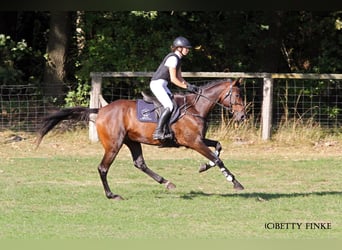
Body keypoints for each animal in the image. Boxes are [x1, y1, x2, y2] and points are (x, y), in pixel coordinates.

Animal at [36, 77, 246, 200]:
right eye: (237, 95)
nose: (242, 116)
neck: (196, 108)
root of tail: (101, 110)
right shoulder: (194, 142)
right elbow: (217, 159)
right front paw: (235, 183)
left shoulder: (198, 140)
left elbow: (218, 147)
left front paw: (203, 167)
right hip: (114, 145)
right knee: (103, 168)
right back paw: (112, 195)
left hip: (132, 141)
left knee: (140, 163)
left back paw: (166, 182)